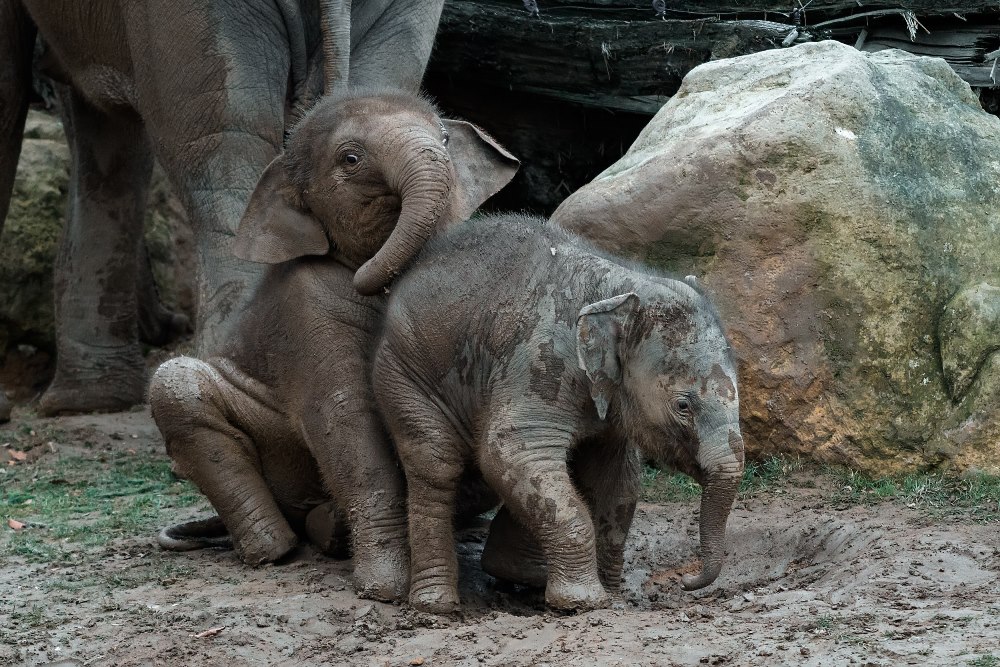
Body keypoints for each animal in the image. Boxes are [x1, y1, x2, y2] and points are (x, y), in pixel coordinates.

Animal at [152, 88, 520, 600]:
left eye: (446, 140)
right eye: (350, 158)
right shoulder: (308, 309)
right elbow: (345, 417)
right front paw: (384, 588)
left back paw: (332, 528)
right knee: (177, 383)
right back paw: (279, 547)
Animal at [376, 215, 744, 616]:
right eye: (683, 406)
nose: (686, 581)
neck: (621, 286)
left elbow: (617, 481)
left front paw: (613, 598)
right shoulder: (541, 362)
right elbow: (509, 451)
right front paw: (584, 601)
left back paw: (520, 574)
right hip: (404, 373)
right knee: (436, 463)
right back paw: (437, 604)